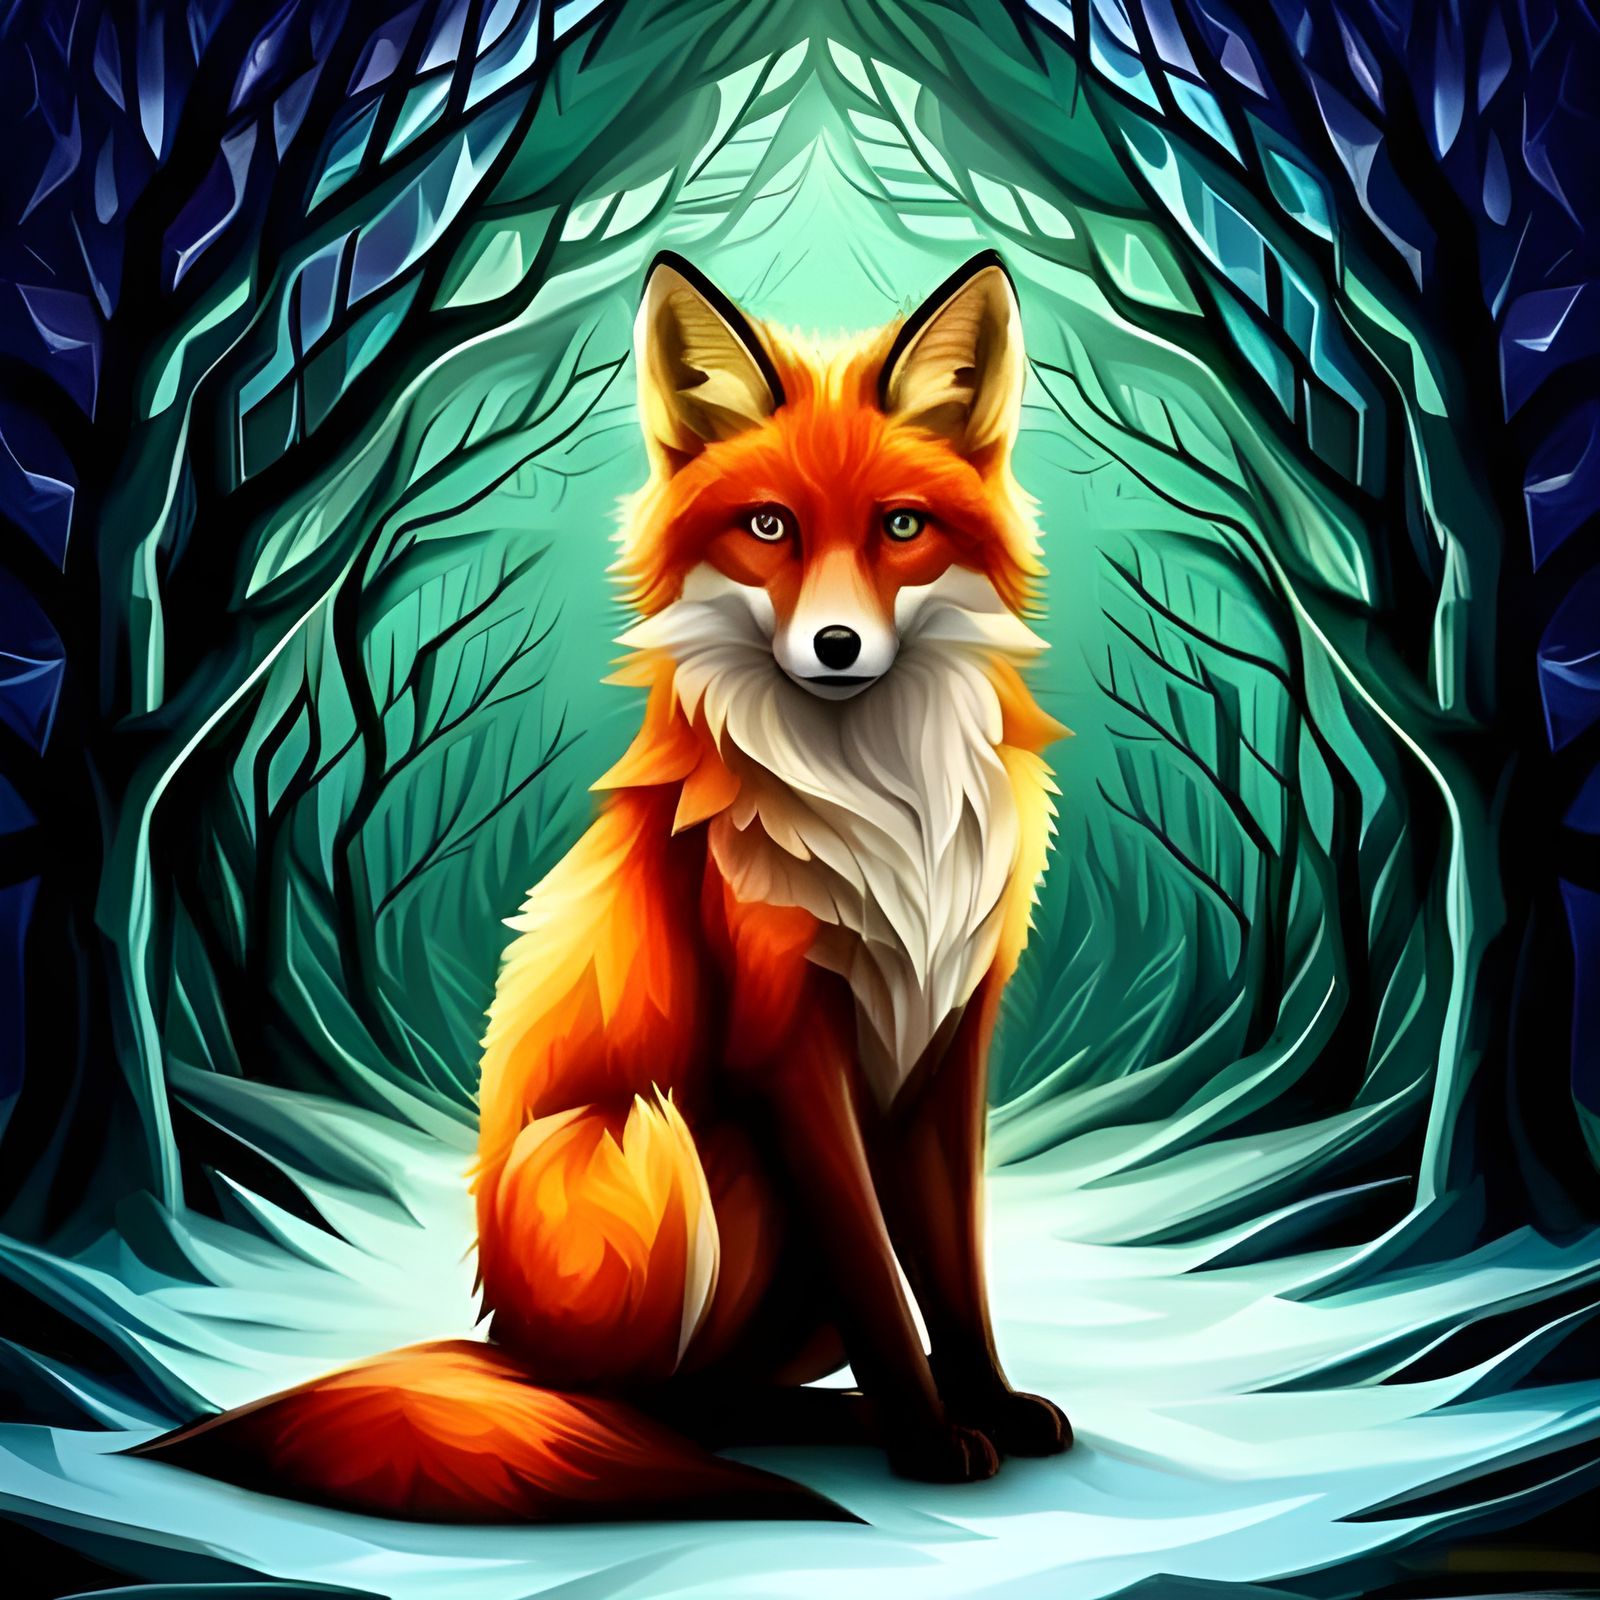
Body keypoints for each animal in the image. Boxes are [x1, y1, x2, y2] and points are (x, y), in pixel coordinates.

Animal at [133, 249, 1071, 1522]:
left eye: (901, 527)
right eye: (768, 526)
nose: (834, 646)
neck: (887, 809)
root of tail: (505, 1350)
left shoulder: (947, 1038)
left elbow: (955, 1268)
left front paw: (984, 1402)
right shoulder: (785, 1043)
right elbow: (881, 1277)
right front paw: (930, 1439)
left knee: (724, 1395)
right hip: (658, 1144)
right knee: (655, 1405)